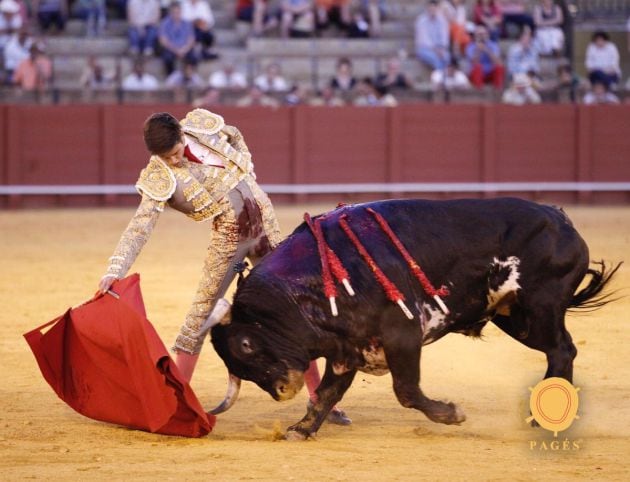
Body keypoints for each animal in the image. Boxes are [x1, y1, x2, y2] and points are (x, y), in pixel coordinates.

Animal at [212, 197, 624, 440]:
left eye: (246, 344)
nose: (283, 390)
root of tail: (561, 218)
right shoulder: (347, 352)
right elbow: (326, 394)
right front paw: (301, 429)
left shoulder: (402, 335)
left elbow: (407, 391)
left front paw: (452, 414)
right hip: (514, 318)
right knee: (560, 351)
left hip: (539, 309)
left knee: (562, 351)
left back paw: (542, 419)